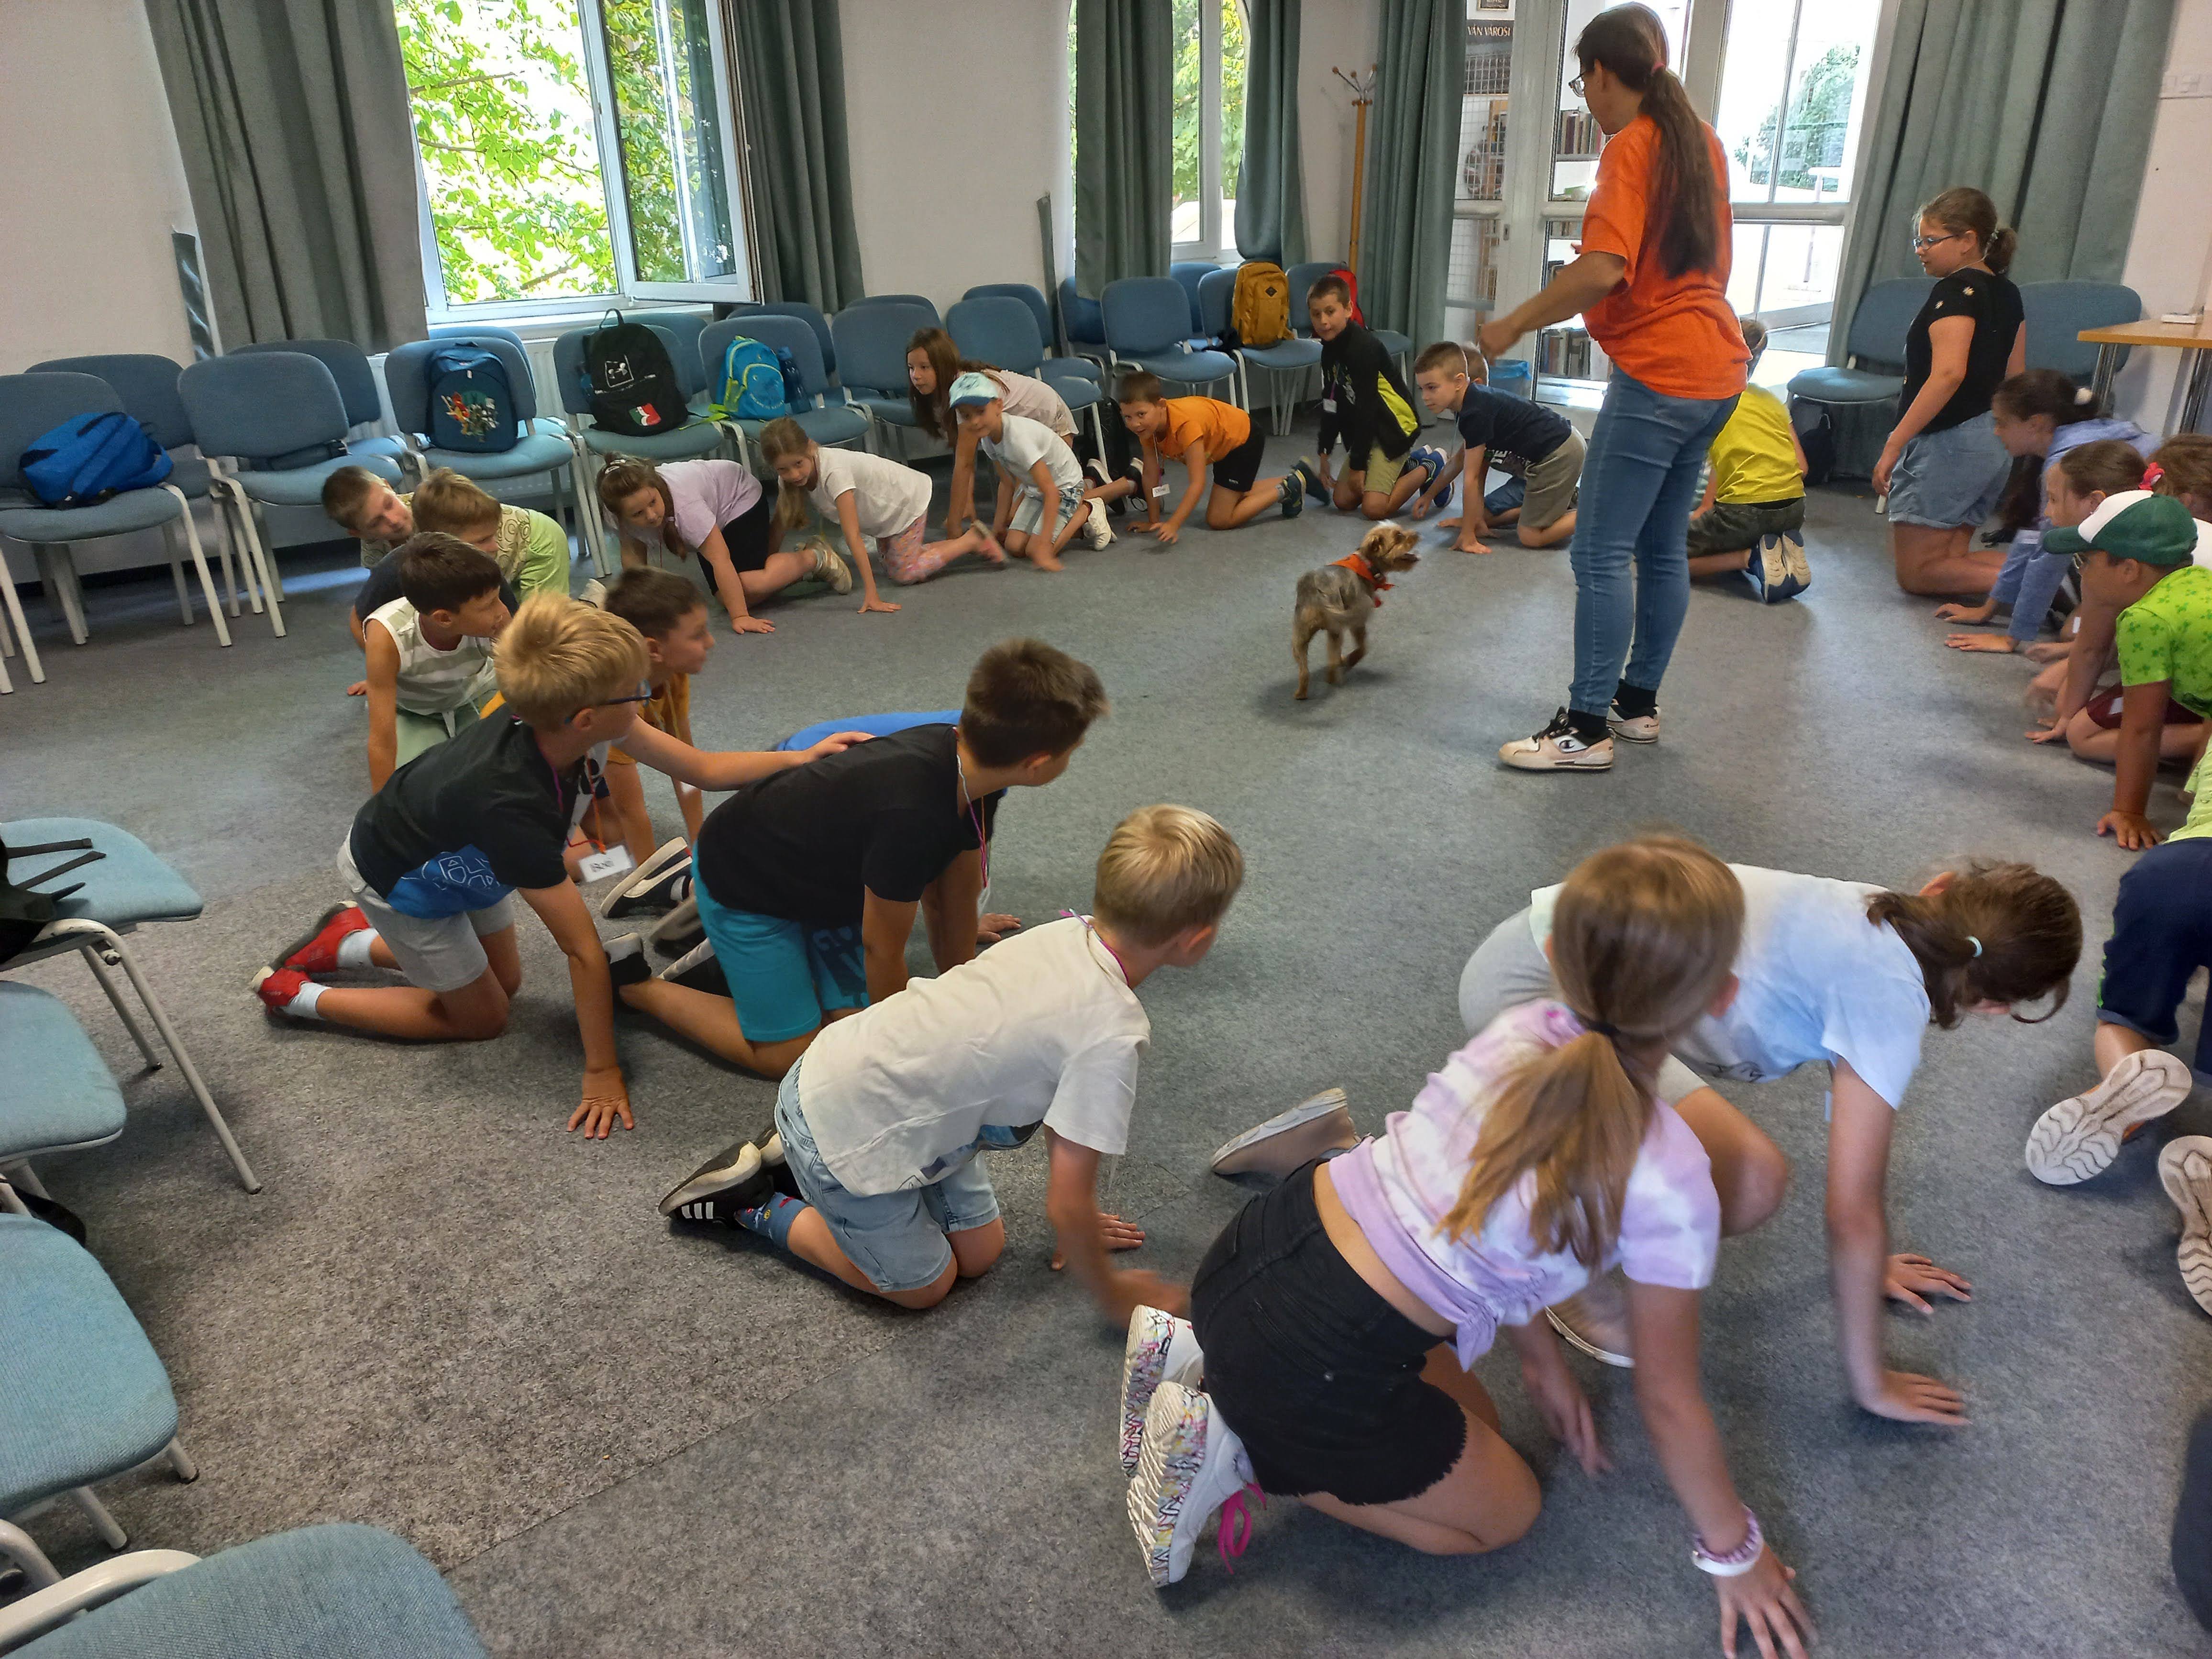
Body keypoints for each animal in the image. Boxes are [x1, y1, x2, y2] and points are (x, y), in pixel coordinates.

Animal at [1293, 522, 1420, 699]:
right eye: (1399, 536)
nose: (1417, 534)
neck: (1367, 564)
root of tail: (1316, 589)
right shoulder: (1357, 622)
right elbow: (1363, 648)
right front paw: (1351, 660)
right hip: (1336, 628)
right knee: (1333, 661)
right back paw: (1333, 677)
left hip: (1301, 635)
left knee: (1306, 669)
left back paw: (1301, 693)